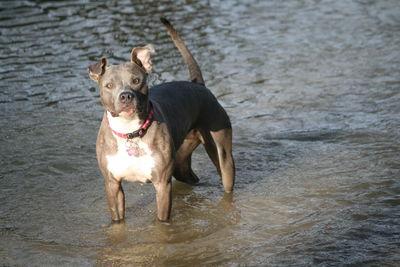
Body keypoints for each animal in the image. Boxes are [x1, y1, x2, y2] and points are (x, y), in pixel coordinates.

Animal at [86, 17, 233, 223]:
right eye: (109, 85)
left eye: (137, 81)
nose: (126, 96)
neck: (130, 132)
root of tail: (198, 85)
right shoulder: (112, 184)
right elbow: (118, 219)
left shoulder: (162, 183)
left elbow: (162, 220)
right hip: (181, 161)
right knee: (190, 176)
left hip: (223, 155)